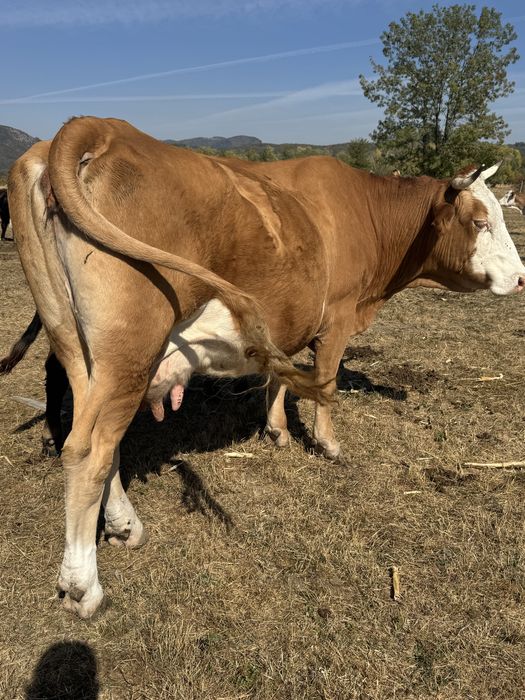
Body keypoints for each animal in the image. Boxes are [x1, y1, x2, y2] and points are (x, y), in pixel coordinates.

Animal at [7, 116, 524, 619]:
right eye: (480, 221)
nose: (521, 278)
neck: (368, 213)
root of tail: (95, 126)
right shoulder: (336, 318)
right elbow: (326, 383)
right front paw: (328, 444)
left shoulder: (284, 321)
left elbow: (280, 372)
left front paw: (276, 429)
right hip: (129, 351)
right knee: (88, 452)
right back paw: (83, 587)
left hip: (77, 347)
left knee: (97, 439)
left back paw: (123, 525)